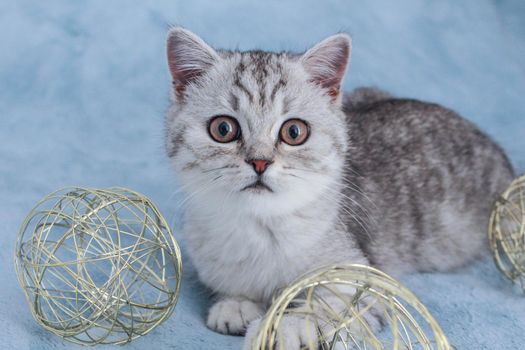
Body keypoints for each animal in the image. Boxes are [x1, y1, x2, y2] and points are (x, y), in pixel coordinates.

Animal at [163, 28, 512, 348]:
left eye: (294, 132)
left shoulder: (366, 280)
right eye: (223, 129)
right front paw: (236, 304)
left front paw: (283, 327)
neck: (260, 228)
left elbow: (325, 307)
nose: (260, 162)